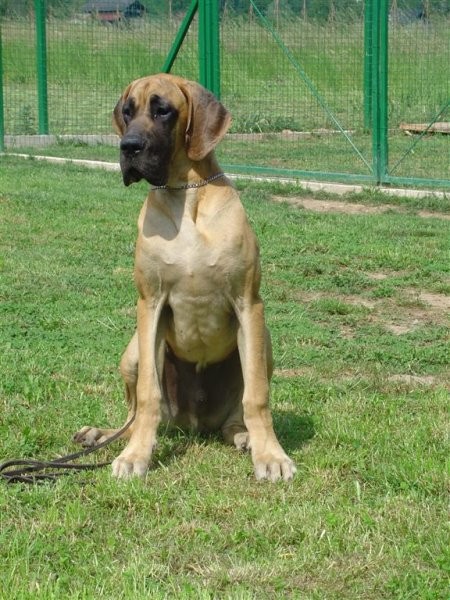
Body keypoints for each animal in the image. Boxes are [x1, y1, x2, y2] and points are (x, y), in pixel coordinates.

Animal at [74, 71, 296, 482]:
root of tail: (193, 423)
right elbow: (148, 395)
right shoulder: (150, 304)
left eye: (163, 110)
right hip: (132, 352)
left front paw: (271, 455)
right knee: (135, 415)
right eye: (127, 111)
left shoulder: (249, 303)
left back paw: (244, 437)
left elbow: (257, 396)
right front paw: (136, 456)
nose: (128, 147)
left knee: (236, 414)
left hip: (265, 344)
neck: (185, 194)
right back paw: (103, 435)